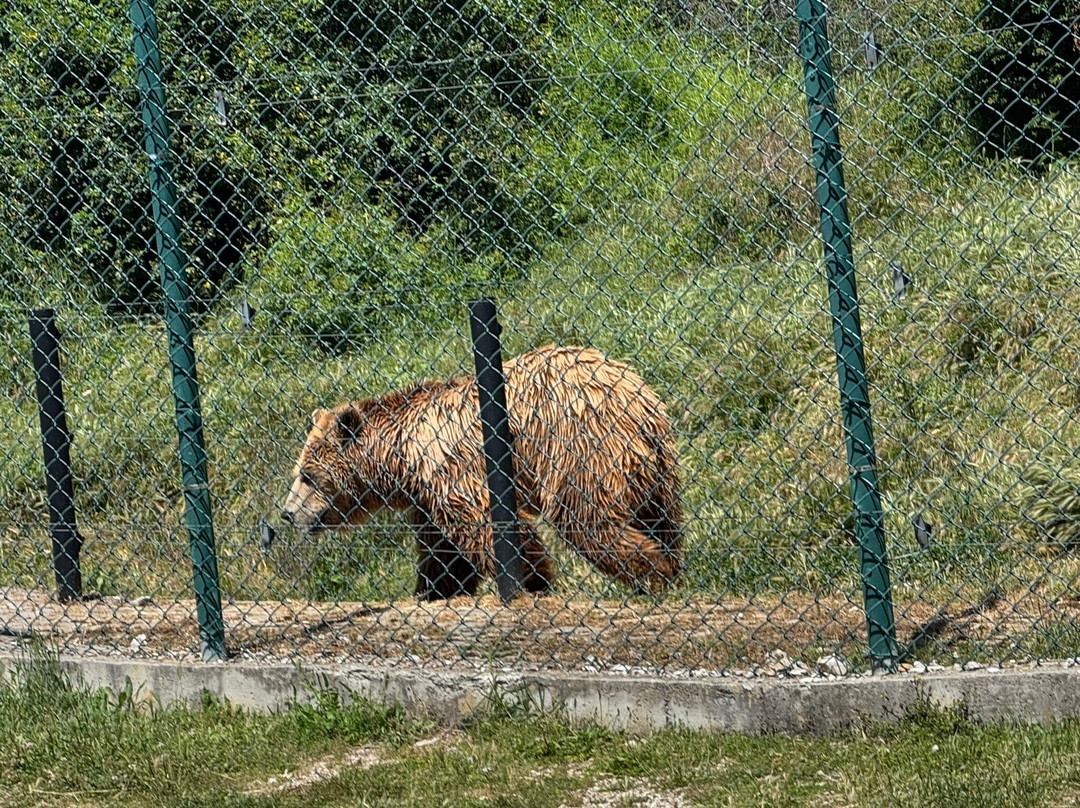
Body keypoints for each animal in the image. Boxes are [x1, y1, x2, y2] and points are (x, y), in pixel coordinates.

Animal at [280, 345, 682, 599]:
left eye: (307, 476)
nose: (287, 513)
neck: (400, 457)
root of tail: (631, 393)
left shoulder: (450, 466)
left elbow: (487, 525)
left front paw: (535, 581)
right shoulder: (427, 496)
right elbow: (443, 555)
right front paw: (431, 593)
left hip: (577, 443)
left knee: (585, 518)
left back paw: (654, 574)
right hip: (656, 461)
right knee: (660, 516)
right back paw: (672, 565)